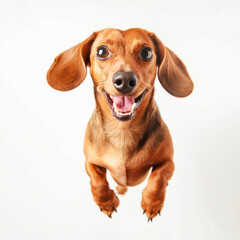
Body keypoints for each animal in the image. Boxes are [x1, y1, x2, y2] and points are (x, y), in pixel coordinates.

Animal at [47, 28, 193, 221]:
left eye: (147, 53)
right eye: (101, 51)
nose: (124, 79)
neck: (123, 132)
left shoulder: (168, 161)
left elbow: (158, 178)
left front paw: (151, 203)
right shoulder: (90, 162)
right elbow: (97, 182)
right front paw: (107, 202)